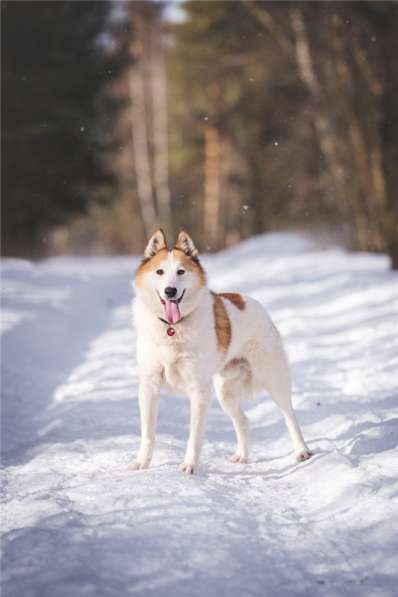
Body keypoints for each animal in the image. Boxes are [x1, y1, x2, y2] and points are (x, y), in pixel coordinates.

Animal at [129, 230, 312, 472]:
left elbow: (194, 435)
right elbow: (147, 433)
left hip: (273, 378)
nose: (170, 291)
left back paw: (302, 451)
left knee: (289, 416)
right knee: (243, 421)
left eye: (181, 271)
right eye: (159, 272)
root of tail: (252, 302)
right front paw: (142, 462)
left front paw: (189, 466)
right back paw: (242, 456)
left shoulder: (198, 390)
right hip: (225, 392)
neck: (173, 327)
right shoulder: (149, 386)